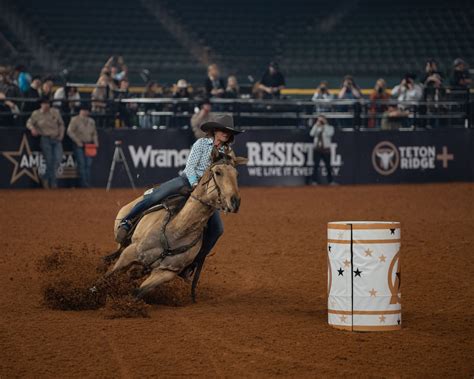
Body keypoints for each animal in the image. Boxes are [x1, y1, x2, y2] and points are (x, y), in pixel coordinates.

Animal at [100, 151, 248, 302]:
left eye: (237, 174)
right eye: (218, 172)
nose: (235, 202)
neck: (177, 231)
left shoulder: (166, 272)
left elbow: (137, 293)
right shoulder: (130, 253)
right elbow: (107, 276)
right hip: (123, 240)